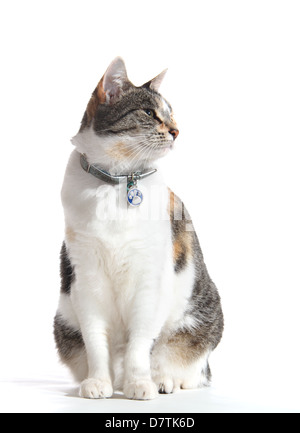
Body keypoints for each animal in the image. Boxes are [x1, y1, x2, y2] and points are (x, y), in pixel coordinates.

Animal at [53, 56, 223, 398]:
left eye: (171, 114)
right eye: (149, 113)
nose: (177, 130)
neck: (118, 181)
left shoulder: (149, 278)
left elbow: (141, 342)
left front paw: (140, 384)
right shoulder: (86, 277)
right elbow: (95, 341)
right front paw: (98, 382)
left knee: (185, 363)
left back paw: (163, 380)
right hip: (63, 321)